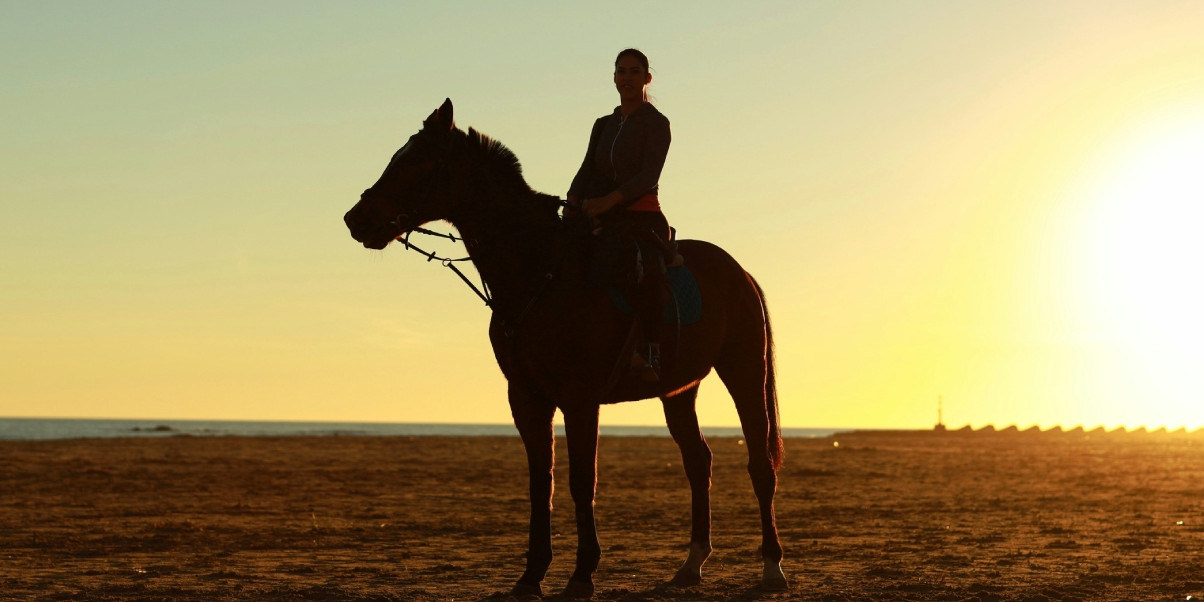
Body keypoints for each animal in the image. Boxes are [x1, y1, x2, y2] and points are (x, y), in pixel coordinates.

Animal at [344, 99, 785, 597]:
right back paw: (691, 564)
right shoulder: (527, 398)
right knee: (698, 461)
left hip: (744, 371)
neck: (540, 272)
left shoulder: (579, 398)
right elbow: (543, 482)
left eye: (416, 161)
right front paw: (531, 575)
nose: (356, 219)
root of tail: (740, 273)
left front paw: (582, 574)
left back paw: (772, 568)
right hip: (678, 390)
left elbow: (580, 480)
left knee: (759, 463)